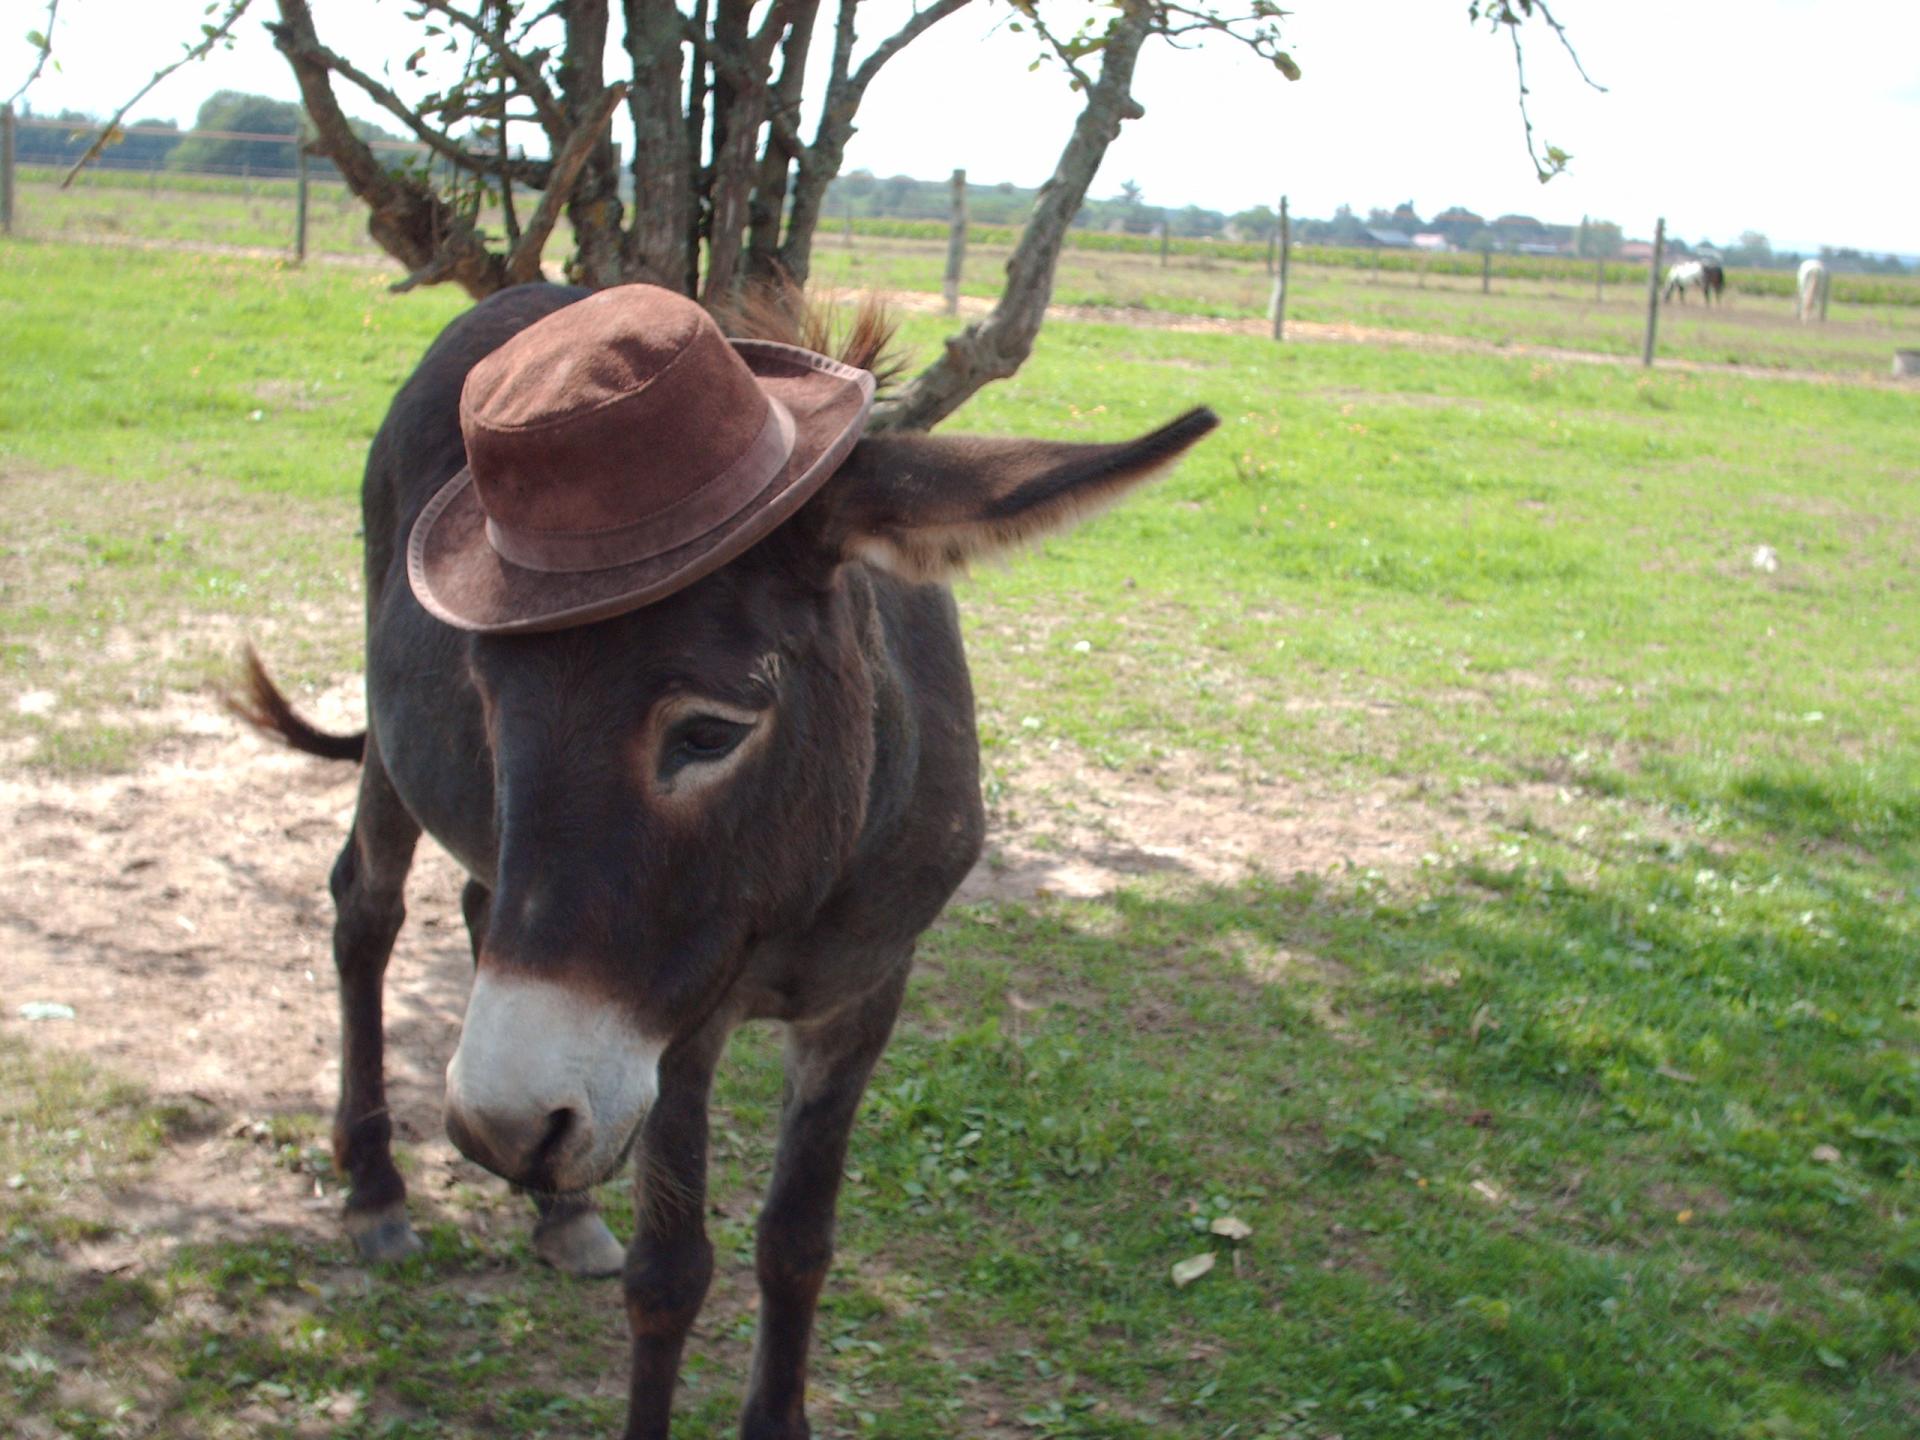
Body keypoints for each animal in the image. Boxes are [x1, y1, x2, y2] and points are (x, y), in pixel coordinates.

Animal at [228, 284, 1213, 1440]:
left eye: (707, 732)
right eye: (489, 699)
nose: (499, 1123)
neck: (804, 889)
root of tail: (527, 297)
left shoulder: (864, 999)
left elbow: (797, 1245)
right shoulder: (677, 1032)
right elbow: (671, 1275)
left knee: (474, 904)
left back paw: (558, 1210)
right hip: (393, 756)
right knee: (366, 910)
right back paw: (379, 1189)